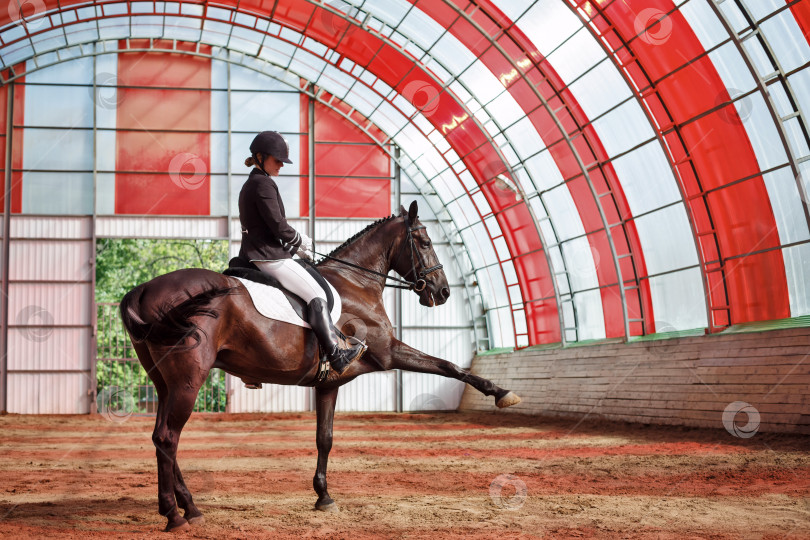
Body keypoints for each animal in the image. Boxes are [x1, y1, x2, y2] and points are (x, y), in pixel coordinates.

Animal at [122, 201, 520, 532]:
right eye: (423, 241)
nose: (442, 292)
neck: (357, 282)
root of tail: (142, 291)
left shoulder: (329, 383)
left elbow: (324, 438)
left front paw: (323, 496)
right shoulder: (389, 352)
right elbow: (449, 365)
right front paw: (501, 392)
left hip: (165, 383)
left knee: (161, 438)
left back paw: (189, 508)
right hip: (189, 380)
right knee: (168, 438)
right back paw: (174, 515)